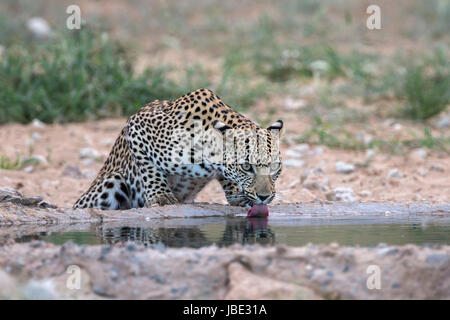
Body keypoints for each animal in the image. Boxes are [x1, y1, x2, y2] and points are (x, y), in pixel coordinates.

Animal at [74, 89, 284, 211]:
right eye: (246, 167)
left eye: (275, 167)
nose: (264, 197)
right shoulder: (136, 125)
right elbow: (148, 167)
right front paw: (160, 195)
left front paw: (237, 194)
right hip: (110, 183)